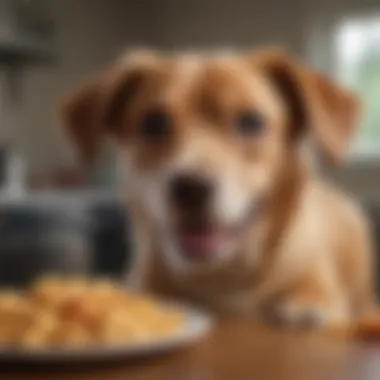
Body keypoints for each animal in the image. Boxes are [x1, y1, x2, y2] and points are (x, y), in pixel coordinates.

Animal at [60, 47, 376, 326]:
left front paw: (306, 307)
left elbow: (314, 293)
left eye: (251, 121)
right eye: (153, 123)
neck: (220, 277)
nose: (190, 188)